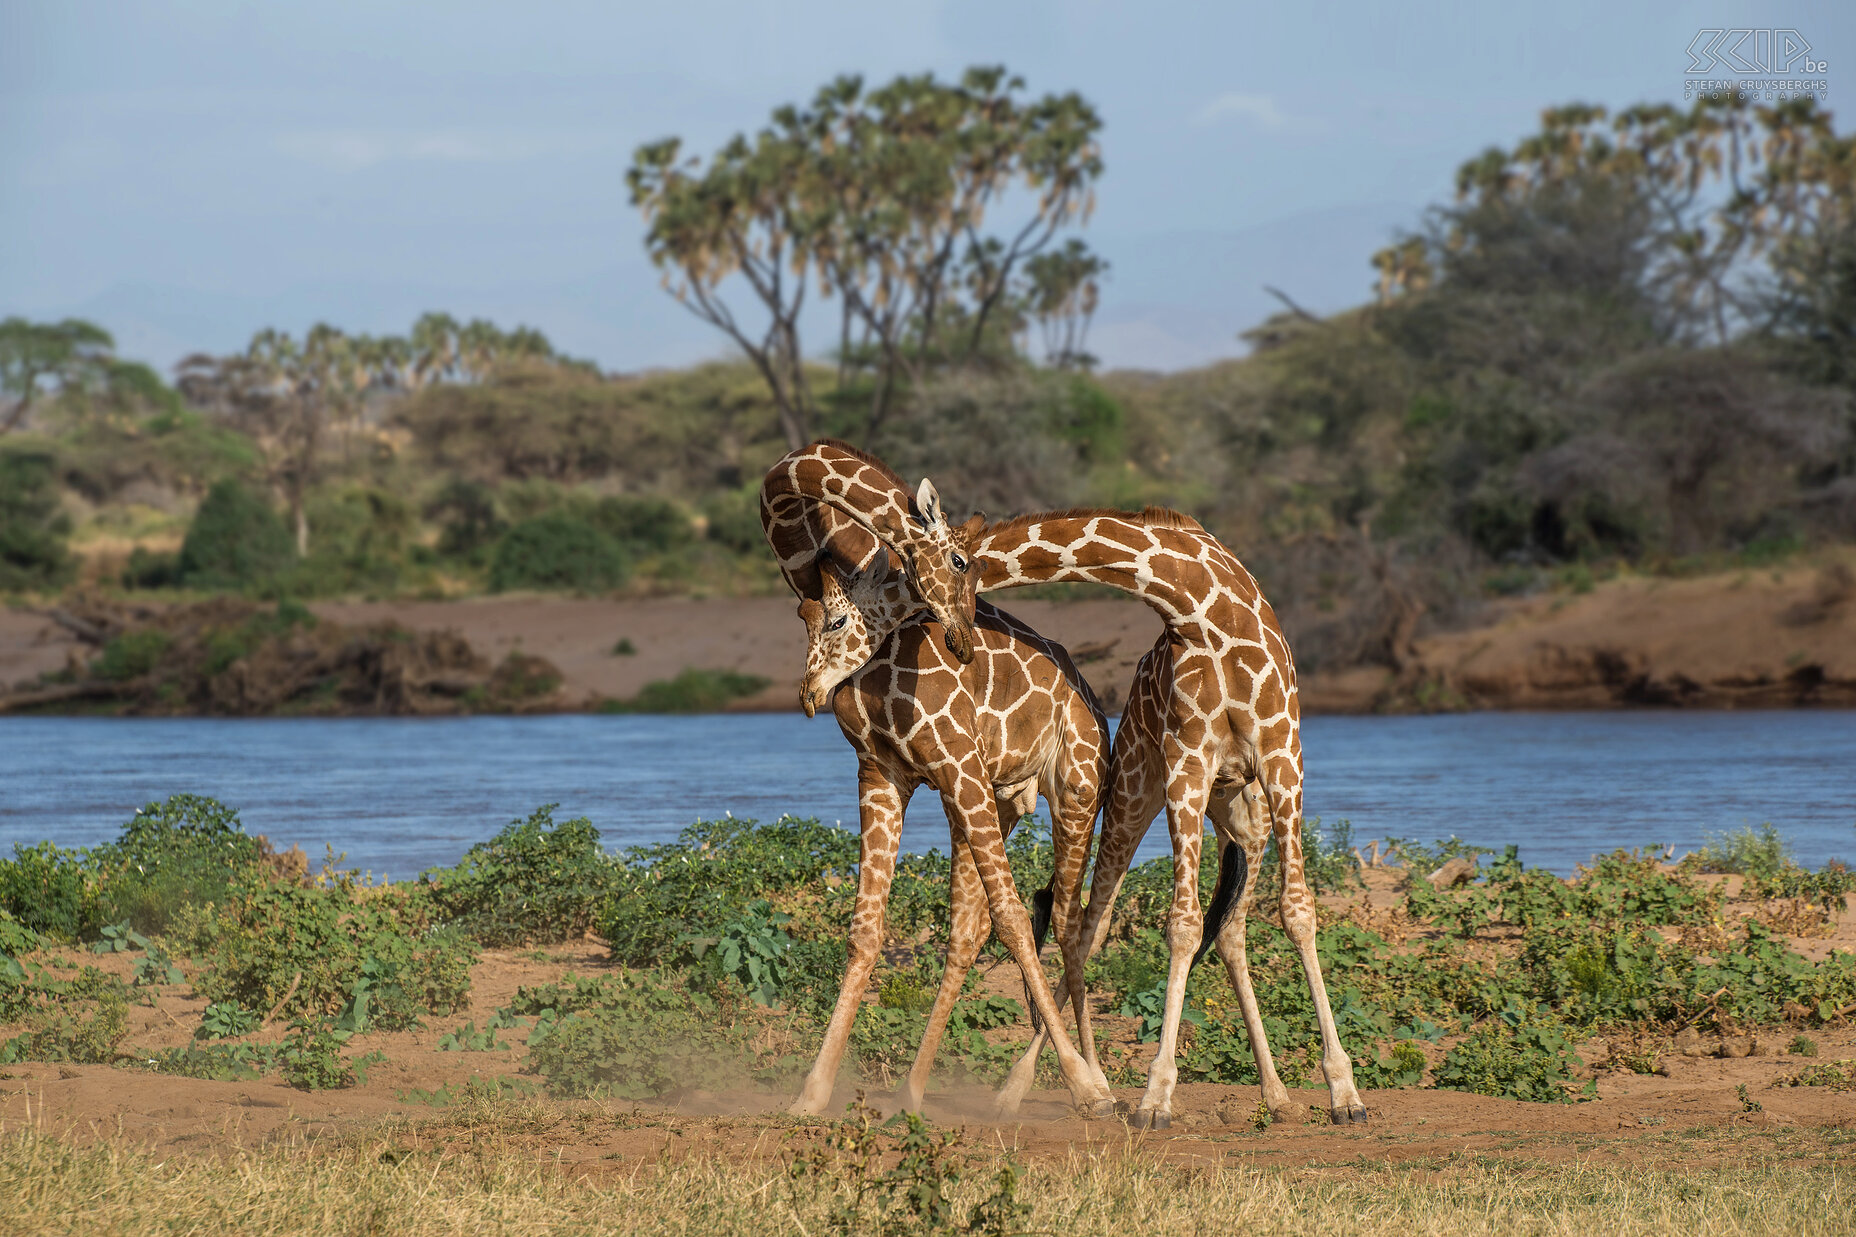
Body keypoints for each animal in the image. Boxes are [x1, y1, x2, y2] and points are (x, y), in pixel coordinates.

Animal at [798, 553, 1113, 1114]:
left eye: (835, 621)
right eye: (801, 618)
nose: (808, 693)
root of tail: (1098, 706)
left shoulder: (958, 764)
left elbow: (1014, 916)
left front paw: (1080, 1081)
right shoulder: (882, 775)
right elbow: (865, 929)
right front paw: (811, 1093)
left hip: (1077, 791)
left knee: (1067, 920)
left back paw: (1095, 1082)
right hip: (995, 801)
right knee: (969, 929)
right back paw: (911, 1092)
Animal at [972, 505, 1366, 1129]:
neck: (1198, 605)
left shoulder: (1283, 754)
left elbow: (1298, 912)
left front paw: (1345, 1092)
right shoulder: (1187, 764)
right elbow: (1181, 924)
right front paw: (1156, 1097)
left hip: (1244, 818)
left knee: (1229, 930)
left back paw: (1276, 1095)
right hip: (1133, 793)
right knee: (1091, 924)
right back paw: (1025, 1086)